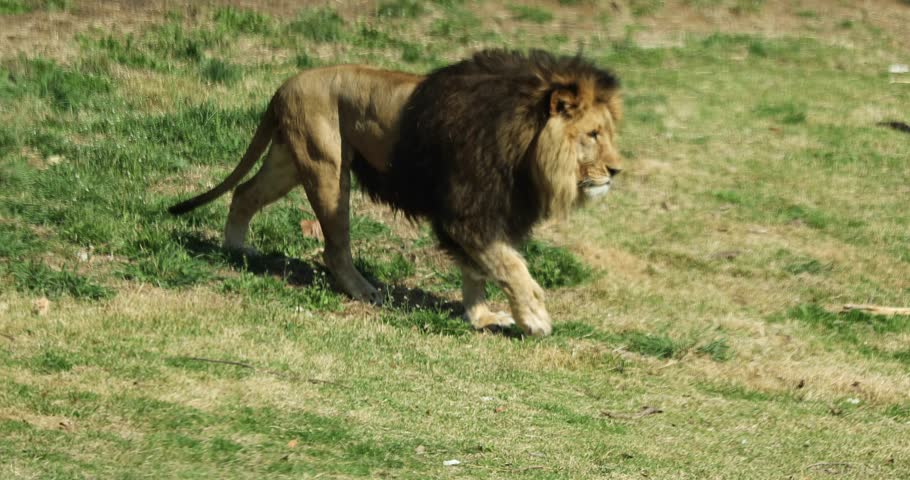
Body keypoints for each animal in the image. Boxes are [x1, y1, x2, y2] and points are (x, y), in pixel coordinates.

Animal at [167, 49, 624, 338]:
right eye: (592, 134)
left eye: (606, 133)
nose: (616, 170)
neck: (523, 145)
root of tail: (285, 85)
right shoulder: (465, 213)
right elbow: (511, 267)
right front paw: (535, 318)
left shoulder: (484, 214)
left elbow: (477, 271)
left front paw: (480, 318)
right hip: (326, 167)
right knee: (333, 247)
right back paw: (363, 291)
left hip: (288, 162)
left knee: (244, 193)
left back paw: (236, 248)